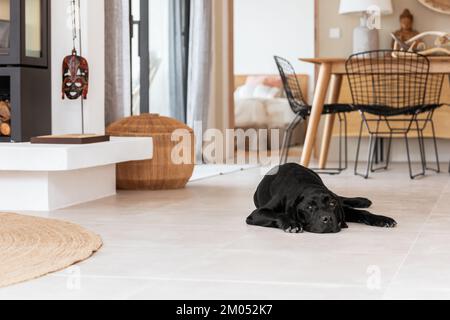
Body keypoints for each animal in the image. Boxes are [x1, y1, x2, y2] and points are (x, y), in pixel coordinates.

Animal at [246, 164, 398, 234]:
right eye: (309, 207)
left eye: (331, 204)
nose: (327, 218)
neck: (305, 184)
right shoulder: (256, 214)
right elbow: (279, 214)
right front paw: (292, 223)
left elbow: (362, 213)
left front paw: (382, 219)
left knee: (343, 199)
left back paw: (363, 201)